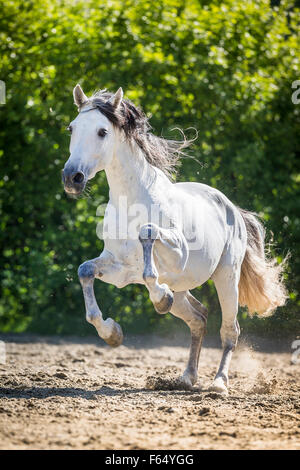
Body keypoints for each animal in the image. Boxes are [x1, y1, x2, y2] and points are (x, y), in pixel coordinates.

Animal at [62, 84, 288, 392]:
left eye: (102, 131)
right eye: (71, 128)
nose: (71, 178)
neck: (131, 202)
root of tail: (232, 208)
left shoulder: (177, 254)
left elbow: (147, 236)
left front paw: (159, 298)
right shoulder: (118, 269)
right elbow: (85, 271)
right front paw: (112, 334)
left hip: (226, 277)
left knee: (230, 330)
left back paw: (218, 383)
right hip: (183, 290)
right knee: (198, 318)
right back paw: (187, 377)